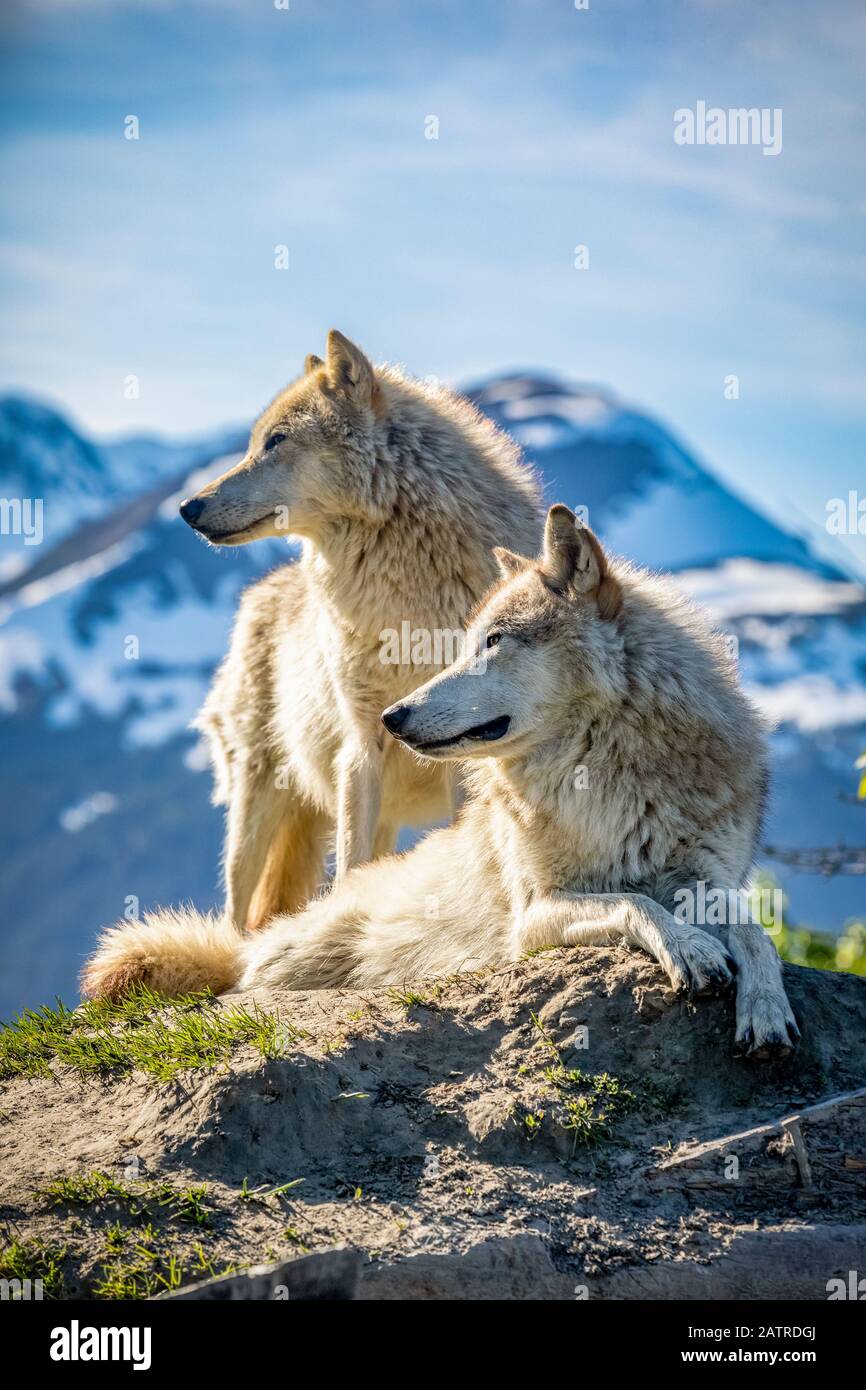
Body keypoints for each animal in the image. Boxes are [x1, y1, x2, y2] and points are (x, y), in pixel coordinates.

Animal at [83, 505, 800, 1056]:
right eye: (464, 643)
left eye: (494, 641)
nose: (393, 717)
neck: (607, 774)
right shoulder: (534, 915)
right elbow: (636, 904)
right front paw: (692, 950)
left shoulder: (708, 878)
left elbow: (753, 929)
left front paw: (765, 1007)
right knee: (236, 982)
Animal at [177, 330, 542, 928]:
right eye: (255, 443)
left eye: (275, 441)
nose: (187, 506)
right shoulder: (361, 745)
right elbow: (349, 868)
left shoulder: (462, 758)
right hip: (255, 808)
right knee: (237, 912)